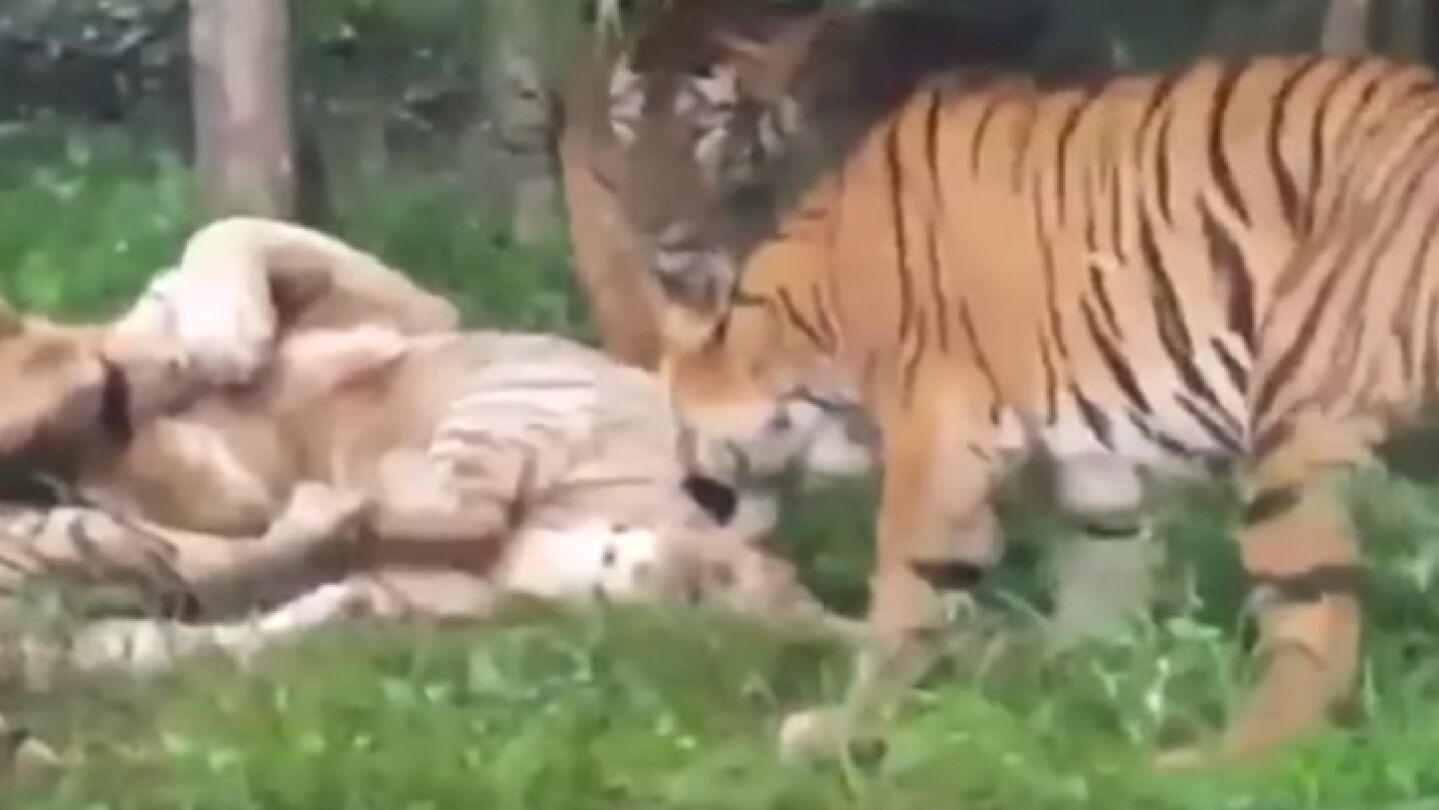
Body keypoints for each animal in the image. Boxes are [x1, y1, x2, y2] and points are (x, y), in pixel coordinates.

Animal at [596, 0, 1439, 770]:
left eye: (677, 423)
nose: (692, 494)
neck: (816, 306)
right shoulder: (1100, 472)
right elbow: (1096, 591)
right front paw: (1053, 689)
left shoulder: (938, 437)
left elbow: (904, 596)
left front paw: (844, 731)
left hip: (1295, 419)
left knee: (1313, 624)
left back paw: (1216, 763)